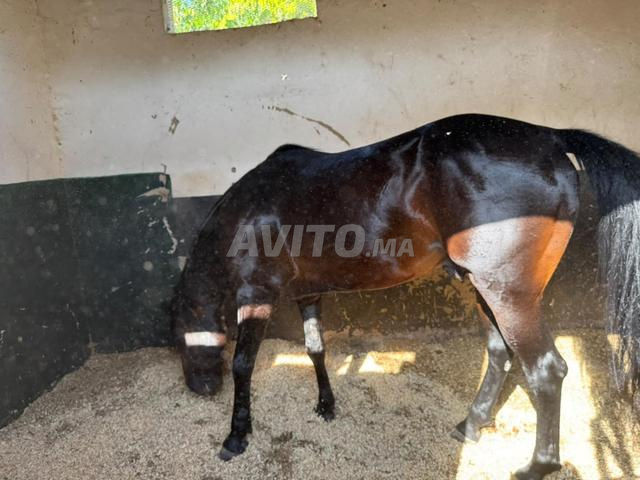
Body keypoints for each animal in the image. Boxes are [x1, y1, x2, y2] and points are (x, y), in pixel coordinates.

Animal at [170, 113, 640, 479]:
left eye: (176, 334)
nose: (201, 388)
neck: (250, 209)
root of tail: (550, 136)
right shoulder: (310, 293)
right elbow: (316, 348)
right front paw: (325, 405)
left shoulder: (257, 294)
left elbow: (244, 364)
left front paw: (236, 435)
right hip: (484, 289)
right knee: (499, 353)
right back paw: (471, 424)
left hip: (508, 294)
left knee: (545, 371)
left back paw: (535, 466)